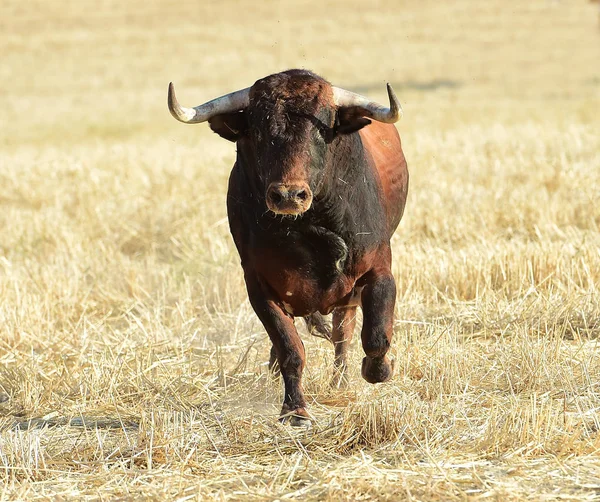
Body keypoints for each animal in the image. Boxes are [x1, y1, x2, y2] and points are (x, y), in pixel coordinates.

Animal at [169, 68, 412, 426]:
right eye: (258, 129)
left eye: (323, 128)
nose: (287, 196)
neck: (308, 230)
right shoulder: (260, 286)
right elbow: (290, 348)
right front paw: (295, 409)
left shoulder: (378, 270)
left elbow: (375, 336)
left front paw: (380, 369)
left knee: (343, 332)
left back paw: (340, 382)